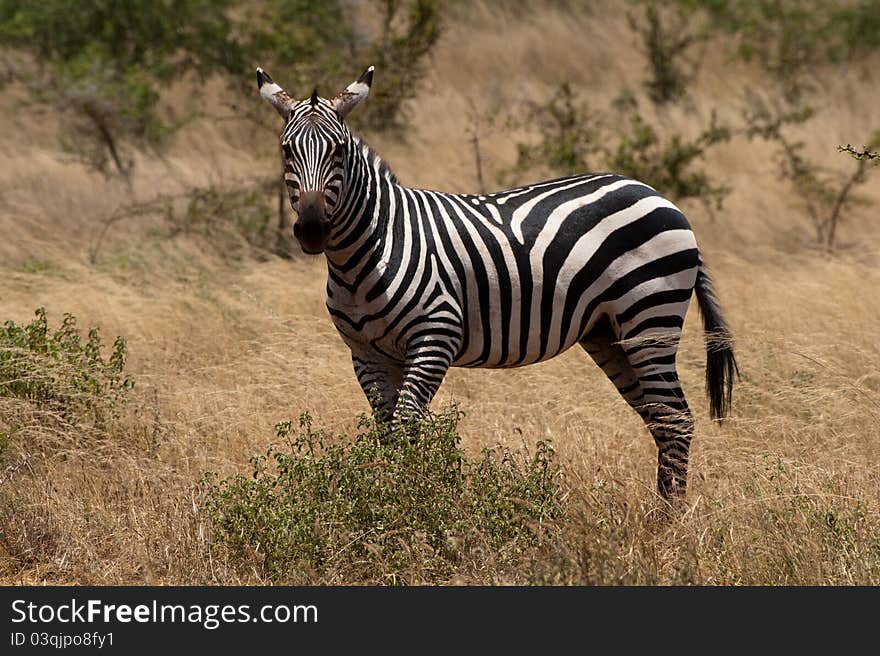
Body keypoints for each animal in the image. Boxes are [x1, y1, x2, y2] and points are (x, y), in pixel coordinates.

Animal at [254, 65, 736, 498]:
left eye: (338, 151)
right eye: (286, 151)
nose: (312, 229)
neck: (368, 252)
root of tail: (658, 195)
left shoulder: (436, 337)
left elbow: (407, 429)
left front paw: (404, 505)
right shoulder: (366, 354)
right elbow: (388, 435)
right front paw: (387, 499)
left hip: (649, 317)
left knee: (676, 418)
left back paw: (669, 523)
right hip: (608, 332)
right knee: (659, 417)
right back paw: (660, 515)